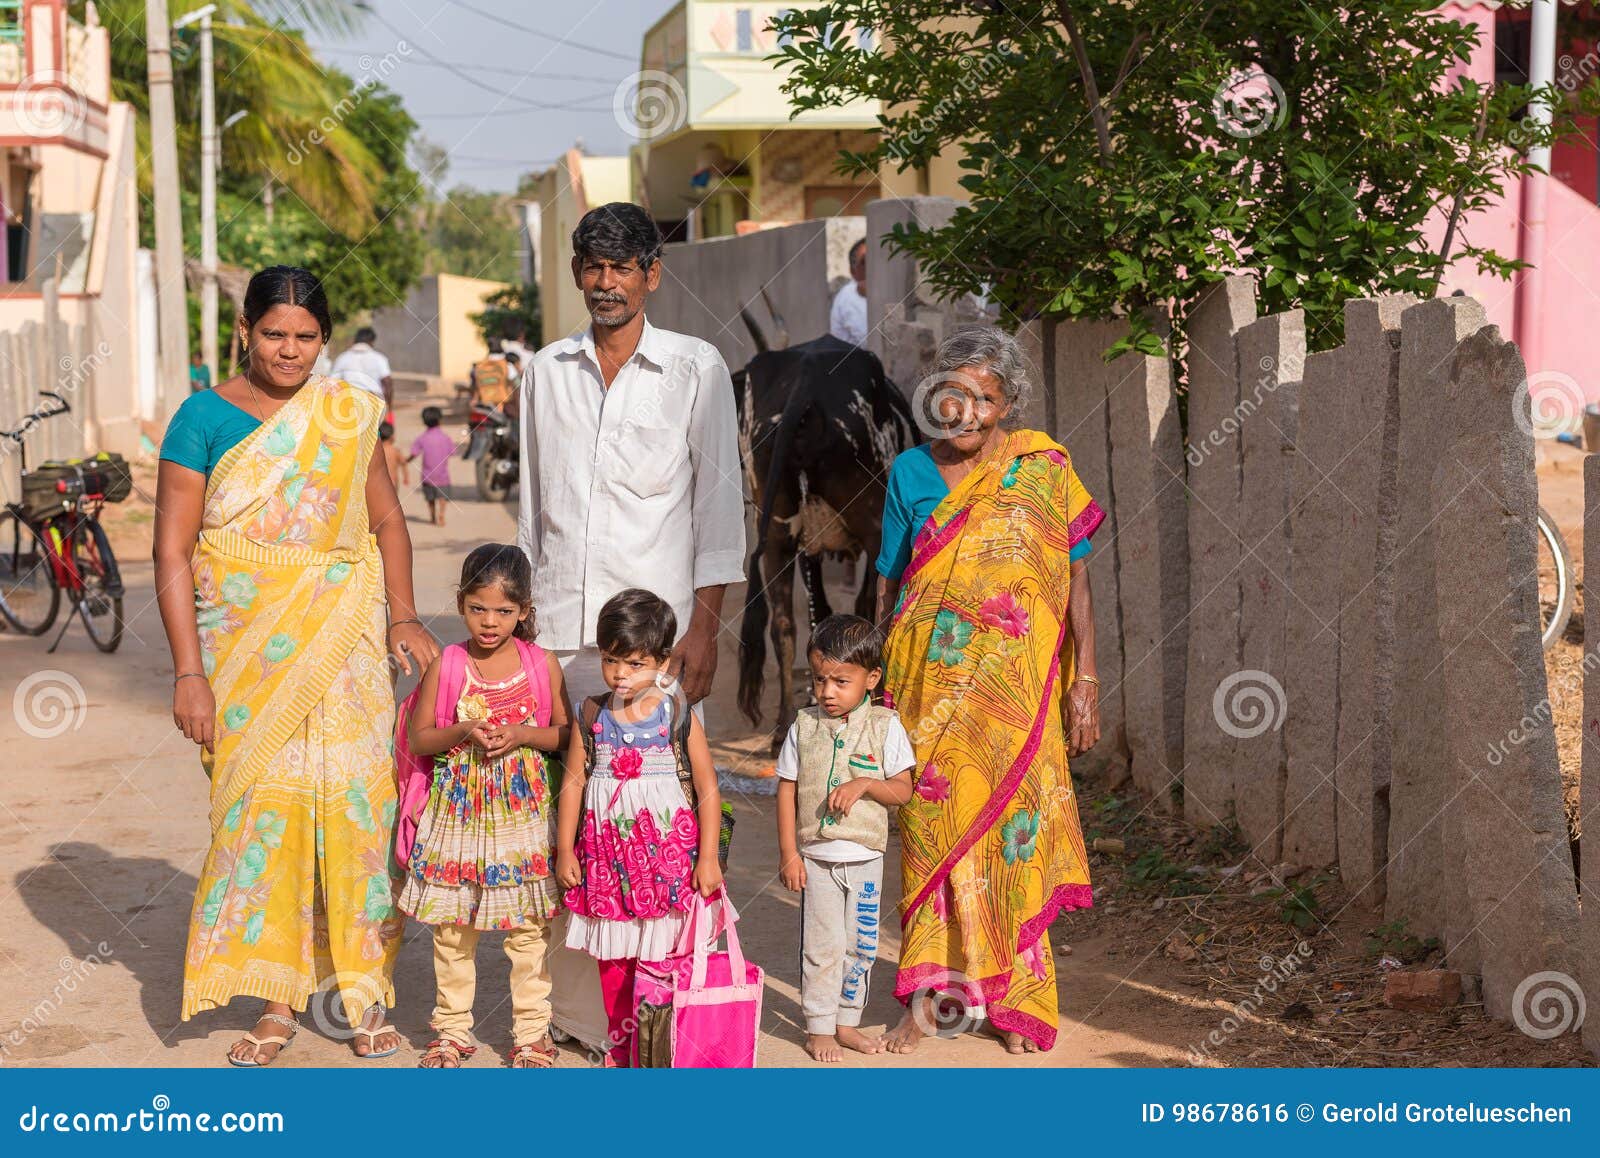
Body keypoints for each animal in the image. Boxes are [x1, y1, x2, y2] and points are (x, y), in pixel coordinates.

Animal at [732, 329, 915, 754]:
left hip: (777, 534)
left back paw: (783, 726)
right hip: (873, 527)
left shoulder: (804, 546)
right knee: (869, 612)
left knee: (783, 625)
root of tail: (805, 377)